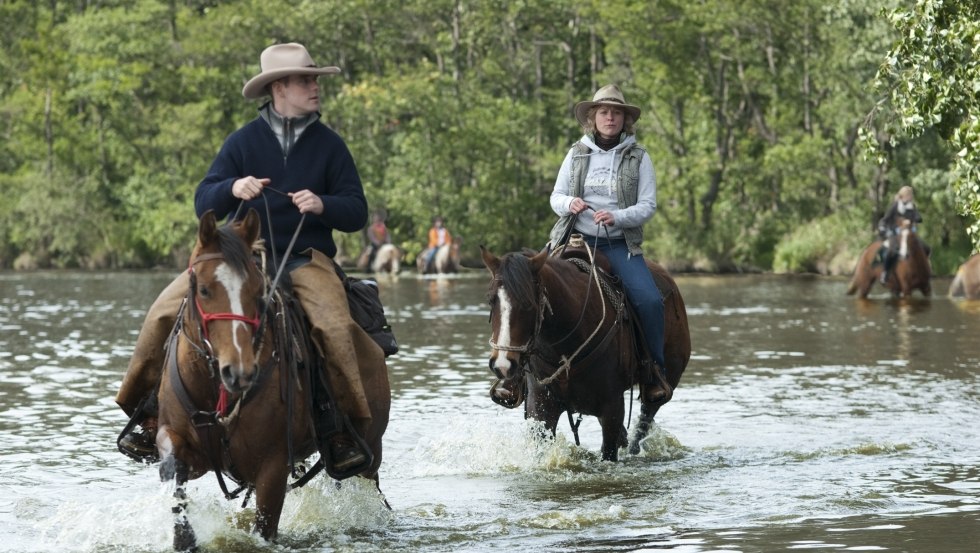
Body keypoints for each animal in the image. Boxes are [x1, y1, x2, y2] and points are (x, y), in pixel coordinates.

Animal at [153, 209, 386, 548]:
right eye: (204, 289)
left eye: (256, 291)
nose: (238, 371)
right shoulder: (178, 441)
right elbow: (174, 475)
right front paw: (185, 537)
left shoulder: (272, 469)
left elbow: (265, 528)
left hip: (370, 451)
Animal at [480, 244, 688, 460]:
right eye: (490, 300)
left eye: (529, 303)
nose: (503, 364)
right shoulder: (541, 408)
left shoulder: (612, 408)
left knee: (644, 422)